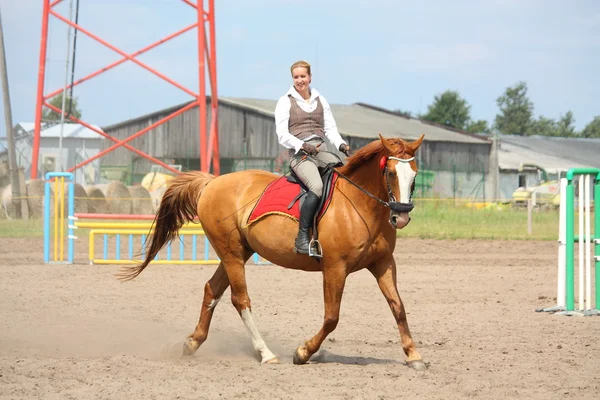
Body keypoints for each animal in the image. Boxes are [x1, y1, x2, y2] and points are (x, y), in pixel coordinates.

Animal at [117, 133, 426, 370]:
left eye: (414, 175)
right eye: (389, 172)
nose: (401, 217)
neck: (358, 205)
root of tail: (212, 182)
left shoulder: (383, 263)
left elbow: (398, 307)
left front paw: (414, 355)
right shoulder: (335, 268)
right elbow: (332, 317)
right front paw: (302, 352)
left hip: (238, 252)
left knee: (212, 289)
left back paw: (193, 342)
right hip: (231, 253)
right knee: (240, 299)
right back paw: (265, 353)